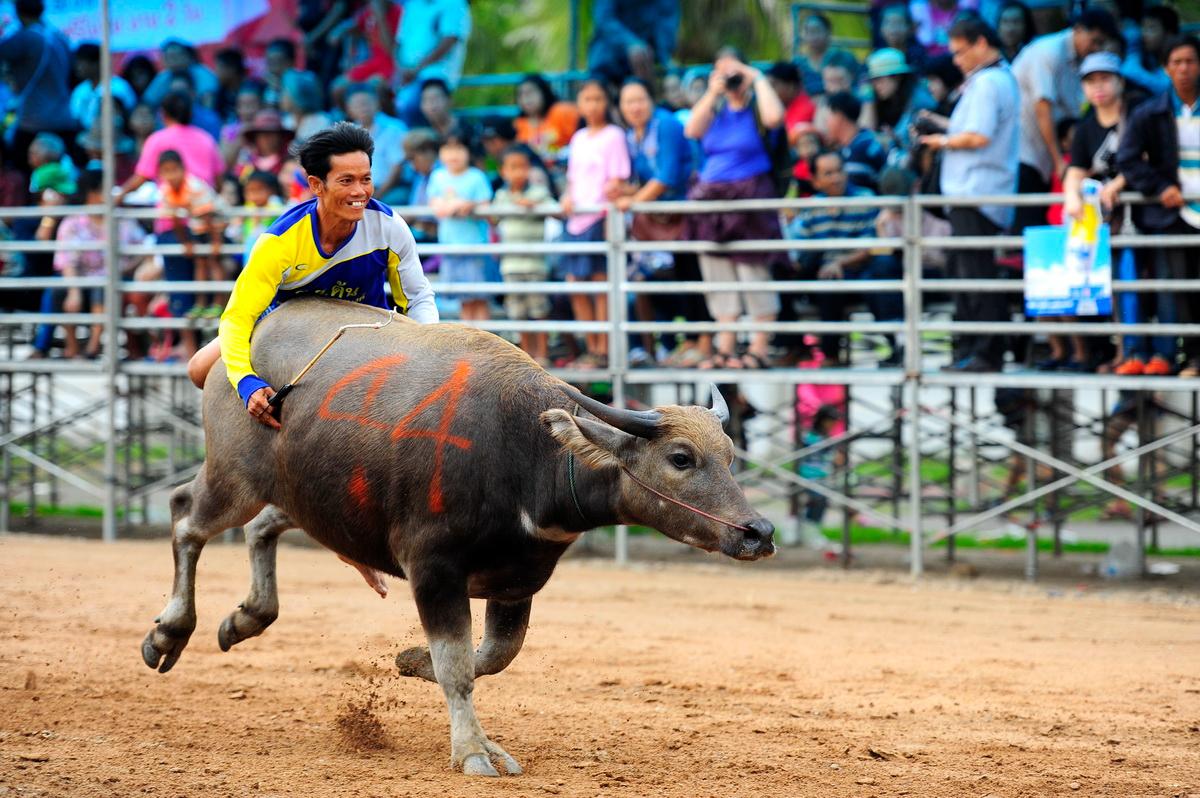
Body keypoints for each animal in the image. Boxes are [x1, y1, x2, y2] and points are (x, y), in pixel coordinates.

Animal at [142, 295, 777, 772]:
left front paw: (410, 660)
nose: (760, 532)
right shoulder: (433, 569)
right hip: (233, 478)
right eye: (681, 457)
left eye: (730, 454)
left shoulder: (516, 581)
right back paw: (170, 631)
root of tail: (239, 344)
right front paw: (473, 749)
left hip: (307, 497)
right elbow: (459, 665)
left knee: (261, 528)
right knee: (185, 517)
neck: (526, 454)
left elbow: (491, 656)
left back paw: (247, 615)